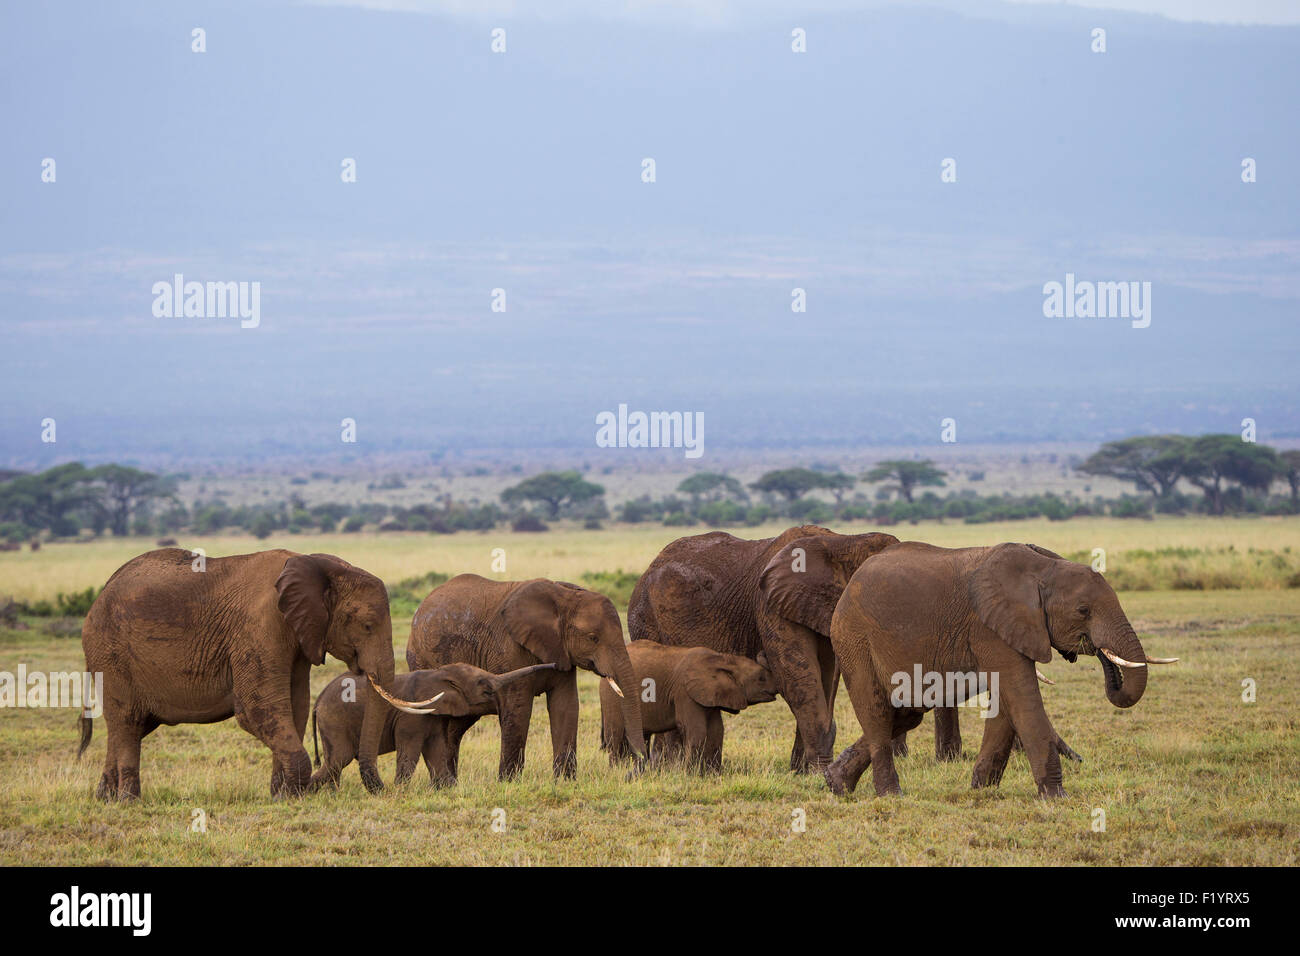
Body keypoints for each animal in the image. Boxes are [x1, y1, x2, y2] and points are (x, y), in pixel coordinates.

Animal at [309, 660, 553, 790]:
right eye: (483, 685)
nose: (554, 665)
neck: (441, 673)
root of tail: (318, 700)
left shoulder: (435, 717)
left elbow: (436, 751)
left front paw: (450, 788)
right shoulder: (411, 717)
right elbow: (411, 751)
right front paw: (400, 791)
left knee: (334, 761)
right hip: (334, 719)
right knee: (339, 758)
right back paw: (310, 790)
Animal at [603, 639, 774, 775]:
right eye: (761, 678)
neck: (723, 659)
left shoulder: (710, 695)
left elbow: (717, 731)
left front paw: (713, 775)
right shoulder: (684, 692)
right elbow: (696, 730)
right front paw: (690, 774)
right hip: (612, 695)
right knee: (616, 734)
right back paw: (615, 770)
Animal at [626, 528, 909, 775]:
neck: (843, 541)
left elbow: (825, 678)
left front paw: (801, 771)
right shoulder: (770, 603)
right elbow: (798, 678)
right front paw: (818, 771)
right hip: (645, 617)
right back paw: (665, 769)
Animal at [826, 546, 1185, 801]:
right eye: (1083, 611)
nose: (1098, 650)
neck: (1044, 568)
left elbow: (1005, 702)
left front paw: (980, 789)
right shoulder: (990, 628)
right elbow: (1021, 697)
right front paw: (1056, 797)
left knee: (905, 711)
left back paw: (835, 784)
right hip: (853, 637)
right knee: (876, 712)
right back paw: (891, 795)